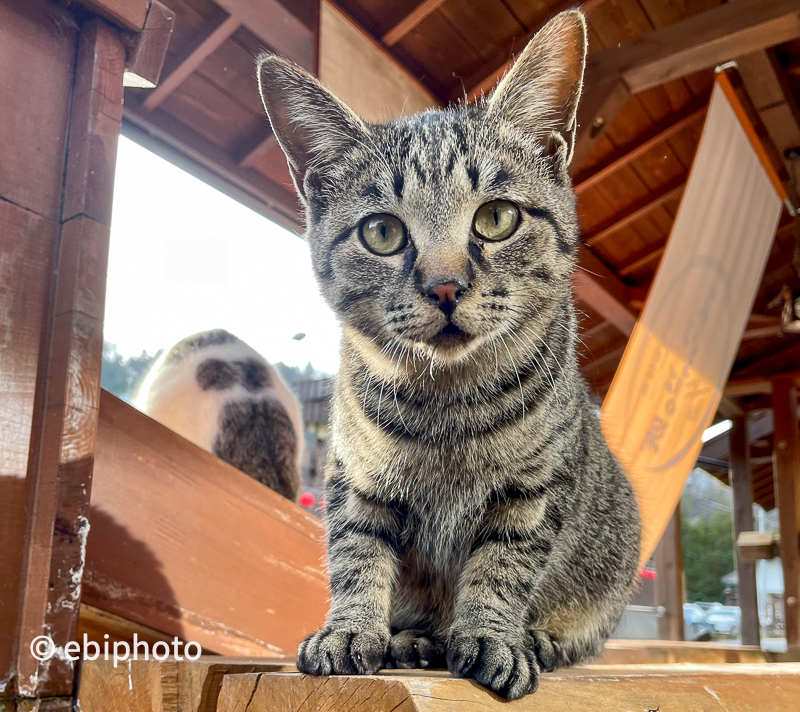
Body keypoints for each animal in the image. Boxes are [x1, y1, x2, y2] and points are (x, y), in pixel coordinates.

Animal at [260, 9, 640, 700]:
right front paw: (351, 628)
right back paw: (413, 639)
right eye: (382, 232)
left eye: (496, 218)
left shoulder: (534, 487)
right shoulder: (355, 476)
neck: (446, 401)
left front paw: (494, 635)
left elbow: (503, 565)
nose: (443, 286)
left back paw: (537, 639)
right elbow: (356, 555)